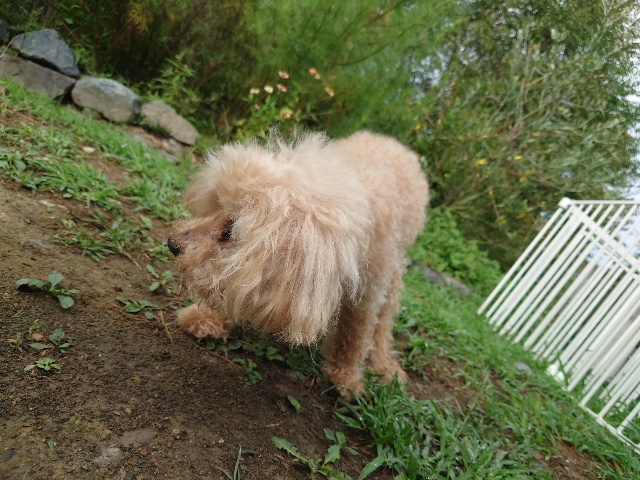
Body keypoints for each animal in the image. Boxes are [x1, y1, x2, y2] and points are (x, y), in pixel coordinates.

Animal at [168, 131, 428, 397]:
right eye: (217, 207)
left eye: (230, 231)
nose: (172, 244)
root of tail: (392, 141)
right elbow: (230, 287)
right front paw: (203, 318)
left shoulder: (366, 293)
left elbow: (354, 335)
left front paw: (346, 378)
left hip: (392, 272)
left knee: (383, 321)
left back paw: (384, 365)